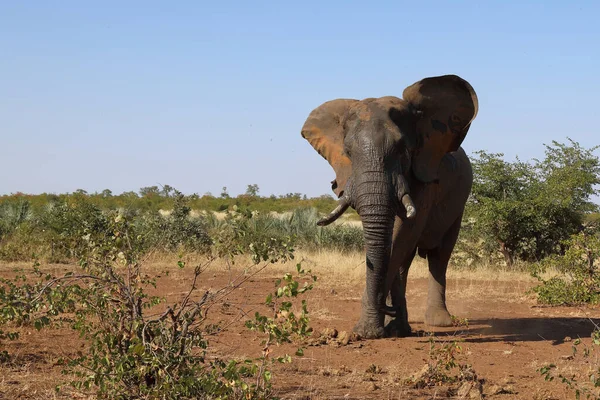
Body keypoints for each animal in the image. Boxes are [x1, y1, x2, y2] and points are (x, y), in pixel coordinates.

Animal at [300, 74, 478, 338]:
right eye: (348, 152)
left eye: (403, 150)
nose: (387, 309)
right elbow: (394, 244)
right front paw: (376, 327)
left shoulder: (422, 176)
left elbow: (402, 231)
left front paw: (368, 331)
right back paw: (400, 326)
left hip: (460, 199)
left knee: (439, 255)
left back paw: (437, 322)